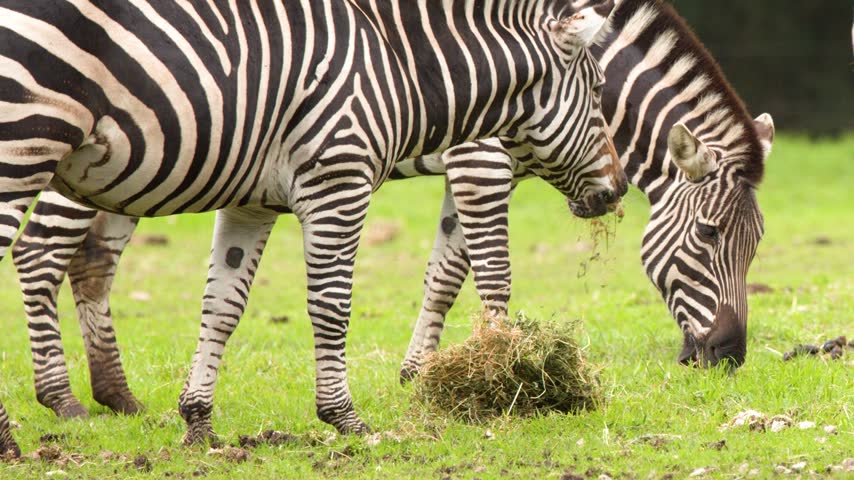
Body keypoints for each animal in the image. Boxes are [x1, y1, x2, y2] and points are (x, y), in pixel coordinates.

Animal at [0, 0, 620, 444]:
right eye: (596, 92)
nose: (616, 193)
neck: (398, 64)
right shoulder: (339, 183)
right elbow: (333, 305)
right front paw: (346, 418)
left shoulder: (250, 202)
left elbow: (222, 307)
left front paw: (198, 423)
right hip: (26, 143)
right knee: (38, 251)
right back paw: (31, 422)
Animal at [399, 0, 776, 380]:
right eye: (707, 231)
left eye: (758, 240)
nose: (729, 356)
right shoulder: (478, 161)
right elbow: (493, 274)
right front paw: (499, 371)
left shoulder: (478, 172)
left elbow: (444, 276)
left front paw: (418, 373)